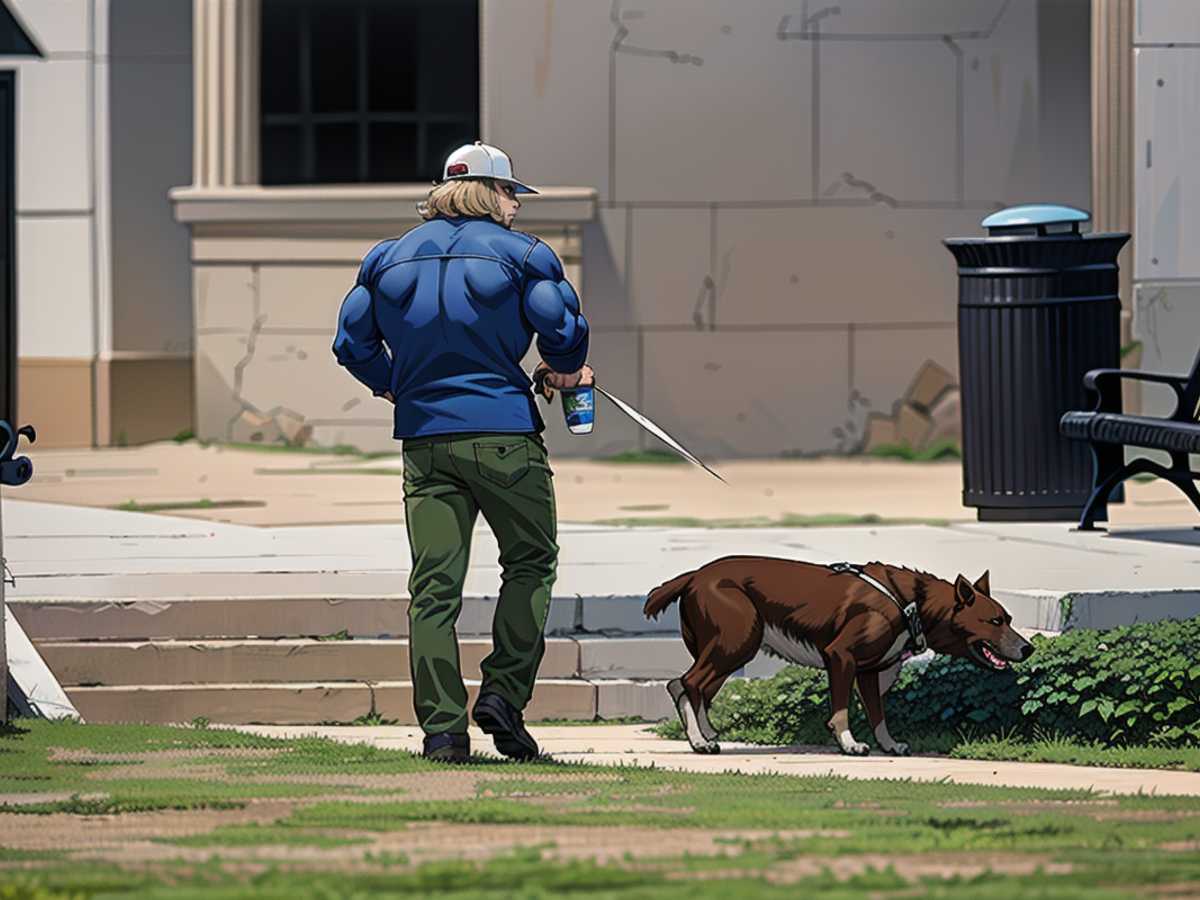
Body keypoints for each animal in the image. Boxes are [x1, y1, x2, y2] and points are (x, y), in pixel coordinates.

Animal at [648, 556, 1032, 753]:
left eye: (1009, 619)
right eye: (994, 621)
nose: (1028, 648)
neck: (912, 603)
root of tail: (693, 575)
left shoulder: (870, 671)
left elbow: (878, 715)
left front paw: (888, 745)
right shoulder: (841, 657)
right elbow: (841, 712)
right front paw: (850, 744)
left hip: (727, 649)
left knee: (689, 687)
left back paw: (707, 734)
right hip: (736, 643)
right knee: (688, 683)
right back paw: (699, 742)